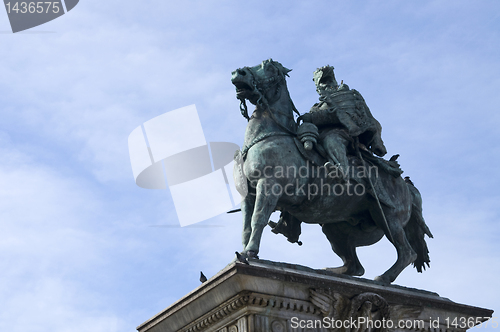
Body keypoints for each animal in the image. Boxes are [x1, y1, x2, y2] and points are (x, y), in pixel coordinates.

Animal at [230, 59, 430, 282]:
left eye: (268, 66)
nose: (239, 73)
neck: (268, 136)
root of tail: (406, 185)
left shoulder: (269, 187)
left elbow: (258, 219)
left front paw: (250, 253)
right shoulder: (248, 195)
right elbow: (246, 228)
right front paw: (243, 252)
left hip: (388, 218)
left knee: (407, 253)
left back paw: (384, 278)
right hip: (336, 228)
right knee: (355, 267)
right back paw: (328, 271)